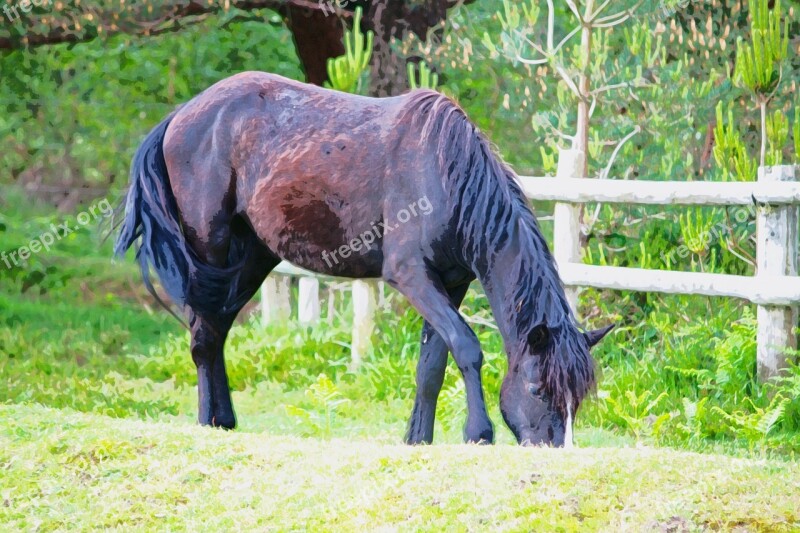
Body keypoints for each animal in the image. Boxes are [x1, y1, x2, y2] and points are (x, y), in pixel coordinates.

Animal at [114, 71, 612, 444]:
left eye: (578, 398)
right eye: (537, 388)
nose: (553, 447)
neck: (446, 173)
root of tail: (180, 116)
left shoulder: (451, 283)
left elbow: (432, 363)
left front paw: (418, 439)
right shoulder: (411, 276)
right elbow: (467, 347)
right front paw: (478, 432)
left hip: (251, 259)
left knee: (215, 329)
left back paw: (225, 421)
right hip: (209, 249)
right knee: (203, 334)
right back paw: (207, 421)